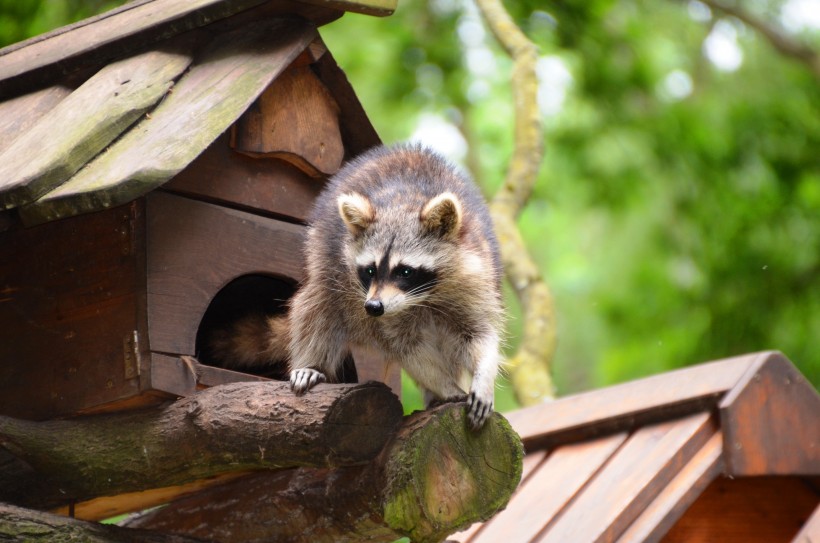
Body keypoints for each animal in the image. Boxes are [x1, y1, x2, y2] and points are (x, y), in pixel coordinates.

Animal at [288, 143, 506, 430]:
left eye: (405, 271)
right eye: (370, 270)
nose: (373, 307)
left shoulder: (475, 276)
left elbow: (480, 334)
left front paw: (484, 376)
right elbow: (408, 349)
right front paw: (446, 386)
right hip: (327, 267)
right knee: (318, 307)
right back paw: (312, 363)